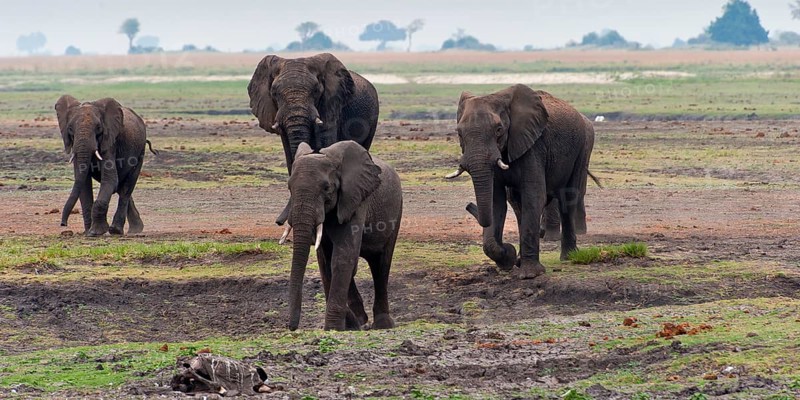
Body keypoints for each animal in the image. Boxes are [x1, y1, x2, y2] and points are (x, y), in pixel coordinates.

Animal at [56, 95, 154, 236]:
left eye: (98, 128)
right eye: (70, 128)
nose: (63, 224)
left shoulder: (110, 143)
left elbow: (110, 180)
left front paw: (95, 232)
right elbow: (84, 184)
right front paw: (88, 232)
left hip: (140, 151)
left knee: (126, 188)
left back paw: (117, 230)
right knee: (121, 186)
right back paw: (134, 229)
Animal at [247, 53, 379, 225]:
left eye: (316, 91)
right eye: (274, 93)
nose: (279, 222)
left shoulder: (330, 106)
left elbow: (325, 146)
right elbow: (289, 154)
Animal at [280, 141, 402, 331]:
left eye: (326, 188)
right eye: (289, 188)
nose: (292, 327)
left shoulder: (356, 200)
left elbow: (343, 257)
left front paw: (333, 327)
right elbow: (325, 263)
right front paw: (350, 324)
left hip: (396, 212)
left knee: (381, 265)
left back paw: (382, 325)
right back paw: (361, 320)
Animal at [446, 84, 595, 279]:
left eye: (499, 130)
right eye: (459, 133)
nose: (468, 205)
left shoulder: (533, 146)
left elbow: (534, 197)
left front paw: (529, 274)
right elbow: (496, 202)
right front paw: (509, 259)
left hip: (581, 149)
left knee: (568, 197)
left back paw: (568, 257)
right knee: (518, 203)